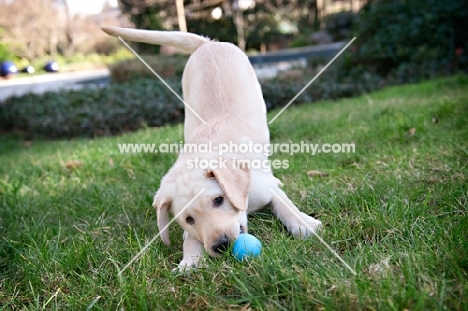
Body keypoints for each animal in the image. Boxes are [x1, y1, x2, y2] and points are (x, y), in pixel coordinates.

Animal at [102, 27, 322, 270]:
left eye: (219, 200)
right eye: (189, 219)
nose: (221, 245)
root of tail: (208, 43)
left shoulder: (263, 188)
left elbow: (284, 203)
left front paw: (304, 224)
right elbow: (190, 238)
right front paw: (189, 262)